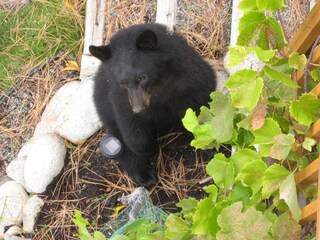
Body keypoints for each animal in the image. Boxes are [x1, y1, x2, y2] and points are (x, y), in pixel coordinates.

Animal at [89, 23, 216, 187]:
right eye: (123, 83)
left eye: (142, 77)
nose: (138, 108)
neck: (157, 84)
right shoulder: (119, 96)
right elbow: (129, 125)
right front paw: (149, 149)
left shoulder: (189, 76)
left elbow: (200, 103)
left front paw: (208, 143)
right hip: (103, 106)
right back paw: (144, 175)